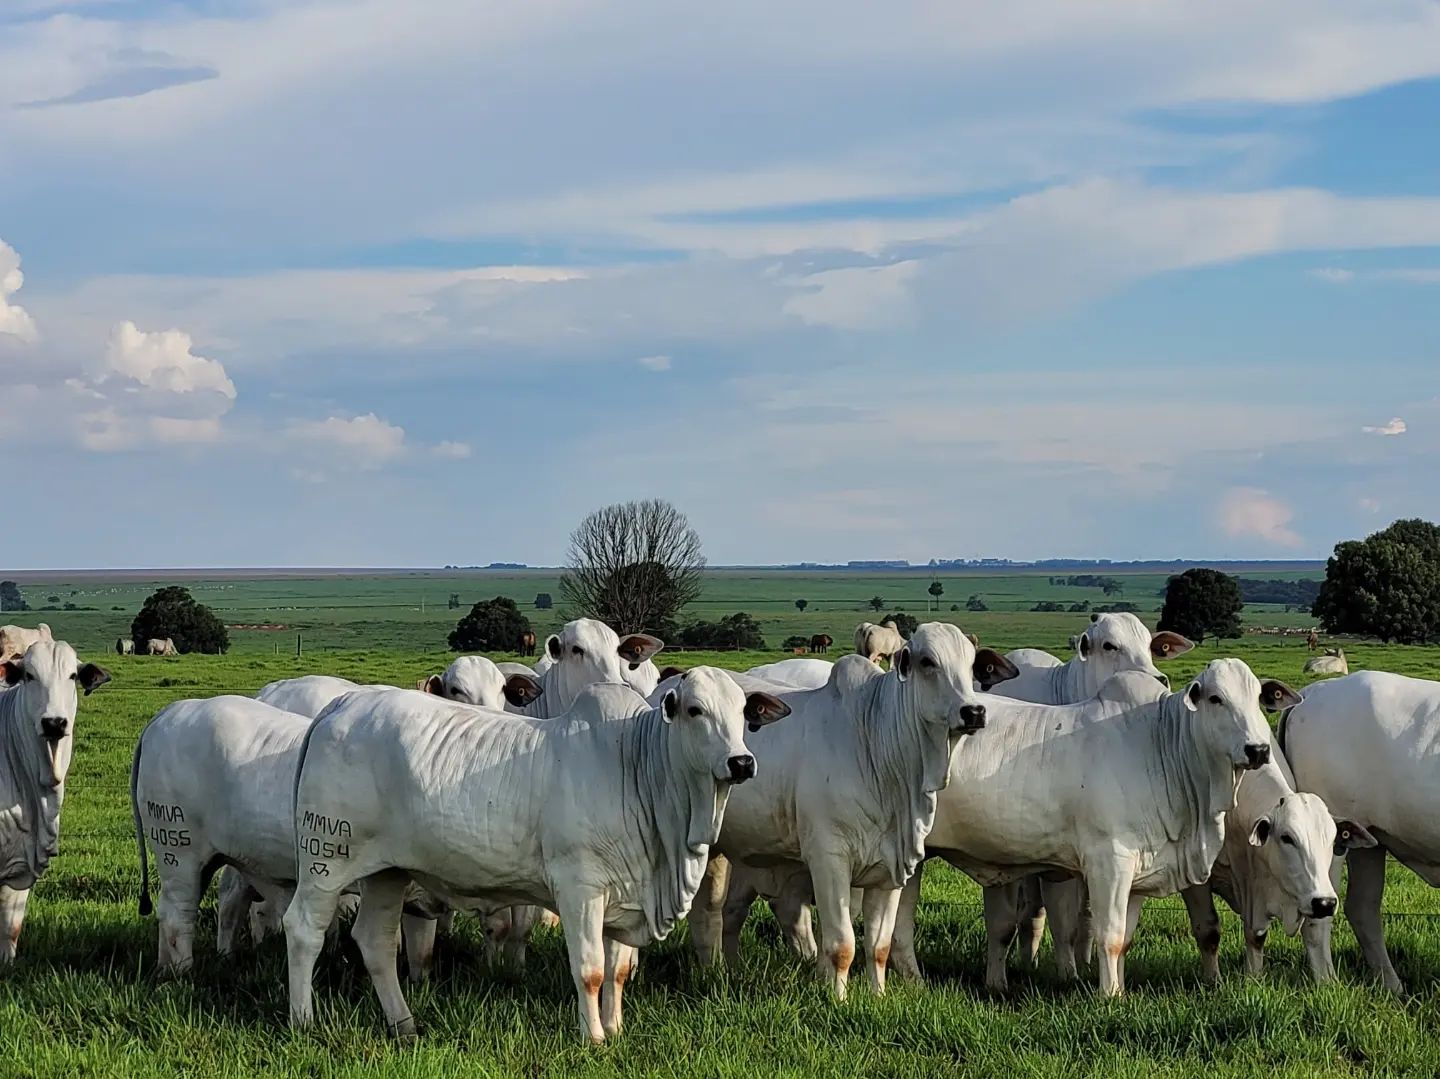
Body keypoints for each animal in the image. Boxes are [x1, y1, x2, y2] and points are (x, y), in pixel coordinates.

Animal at [275, 668, 783, 1037]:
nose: (741, 762)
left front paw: (615, 1028)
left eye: (744, 713)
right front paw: (593, 1038)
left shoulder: (627, 892)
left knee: (375, 941)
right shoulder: (580, 888)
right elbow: (590, 970)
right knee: (303, 929)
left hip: (387, 871)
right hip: (327, 857)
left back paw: (405, 1025)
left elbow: (618, 970)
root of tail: (340, 706)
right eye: (696, 710)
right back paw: (304, 1021)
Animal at [691, 628, 1019, 996]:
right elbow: (841, 945)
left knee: (723, 911)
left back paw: (726, 969)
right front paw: (838, 999)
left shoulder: (892, 869)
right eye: (927, 662)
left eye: (972, 663)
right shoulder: (829, 860)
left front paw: (878, 996)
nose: (973, 711)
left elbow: (879, 945)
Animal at [892, 659, 1290, 996]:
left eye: (1256, 697)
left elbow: (1125, 939)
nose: (1258, 749)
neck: (1161, 746)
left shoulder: (1140, 871)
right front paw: (1110, 995)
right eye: (1216, 698)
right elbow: (1109, 935)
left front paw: (1121, 989)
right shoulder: (1109, 861)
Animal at [1278, 674, 1434, 991]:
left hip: (1369, 840)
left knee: (1363, 908)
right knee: (1318, 919)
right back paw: (1328, 984)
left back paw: (1392, 987)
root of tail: (1311, 692)